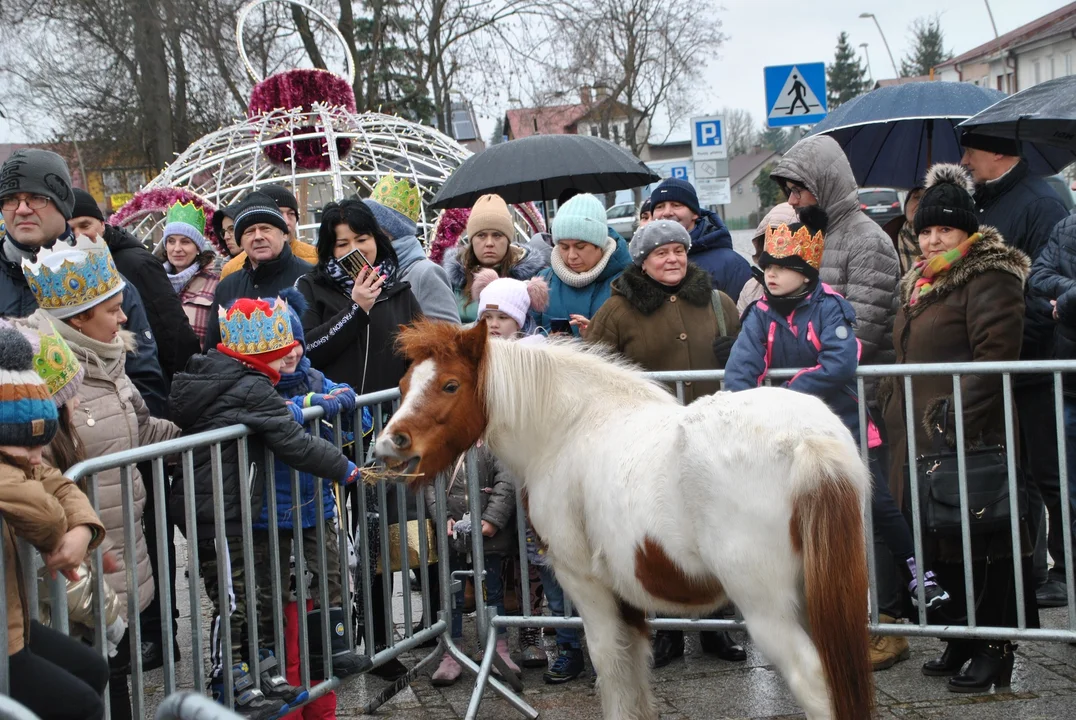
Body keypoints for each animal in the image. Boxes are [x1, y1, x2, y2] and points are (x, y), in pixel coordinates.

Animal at [374, 320, 878, 718]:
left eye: (450, 385)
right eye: (404, 384)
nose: (389, 444)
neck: (571, 426)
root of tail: (806, 441)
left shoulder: (585, 585)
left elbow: (610, 667)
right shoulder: (628, 591)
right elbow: (635, 668)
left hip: (767, 608)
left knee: (816, 685)